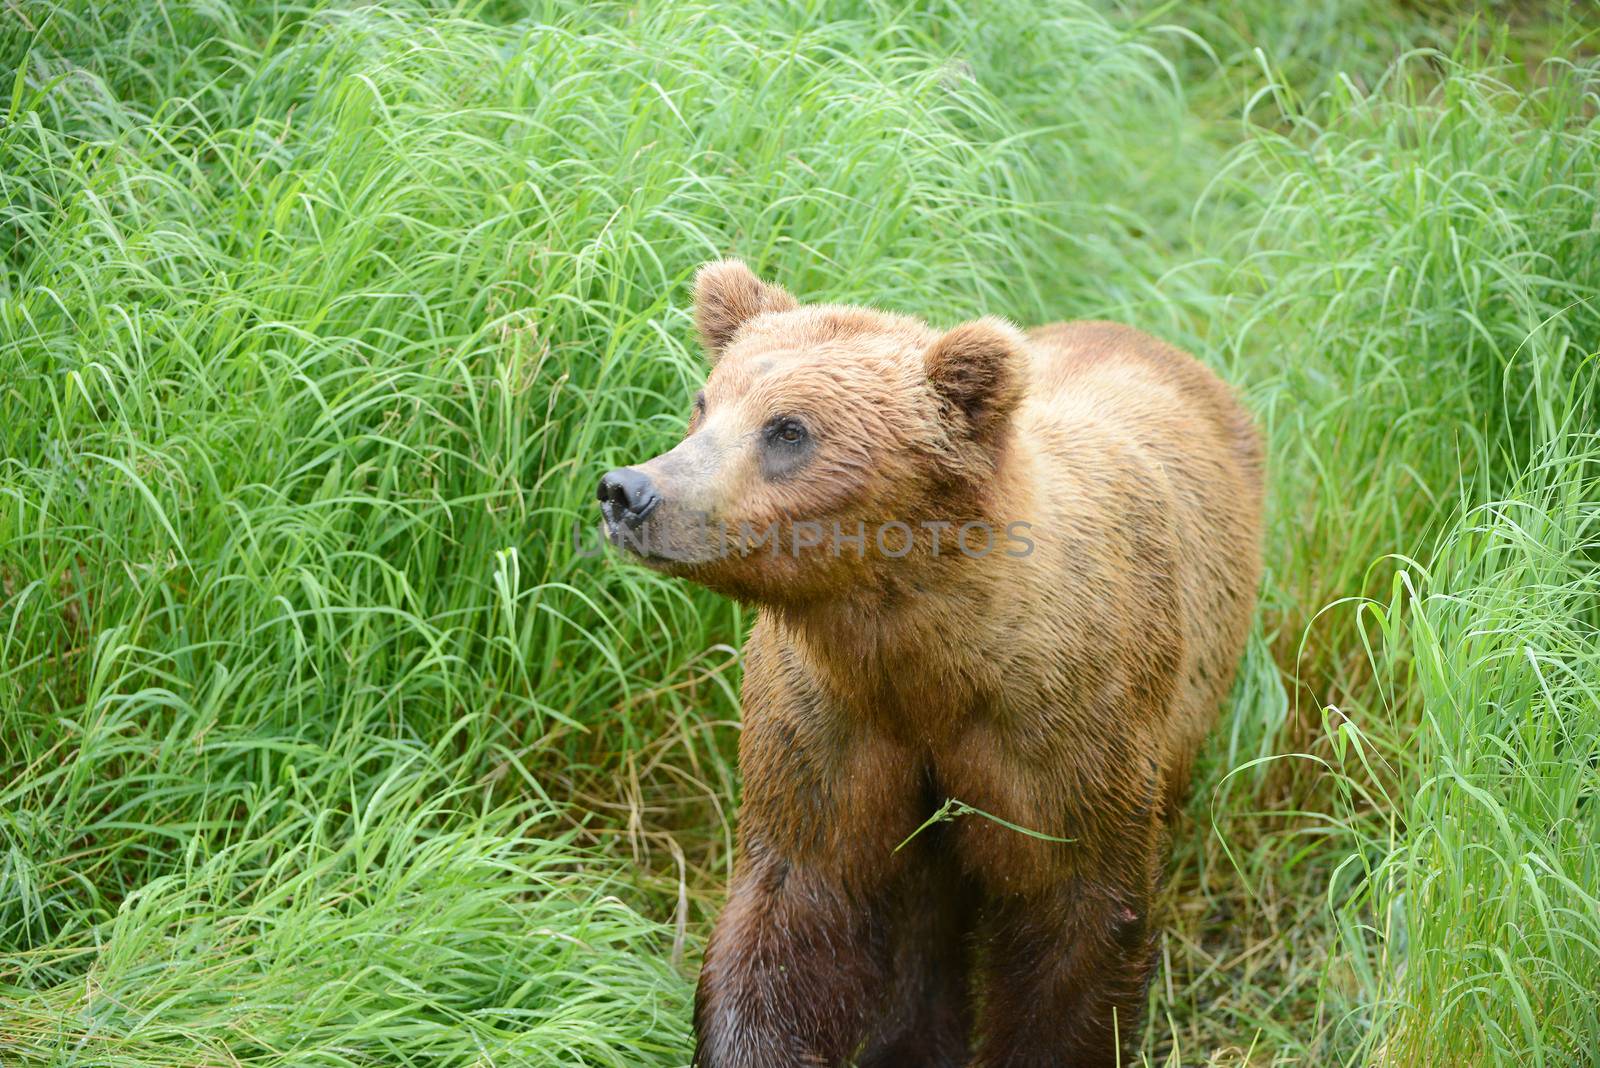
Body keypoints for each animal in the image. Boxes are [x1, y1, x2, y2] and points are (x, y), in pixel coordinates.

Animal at [601, 260, 1260, 1068]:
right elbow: (791, 908)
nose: (629, 490)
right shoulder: (829, 721)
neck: (926, 655)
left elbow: (1076, 921)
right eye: (704, 404)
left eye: (788, 429)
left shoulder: (1068, 733)